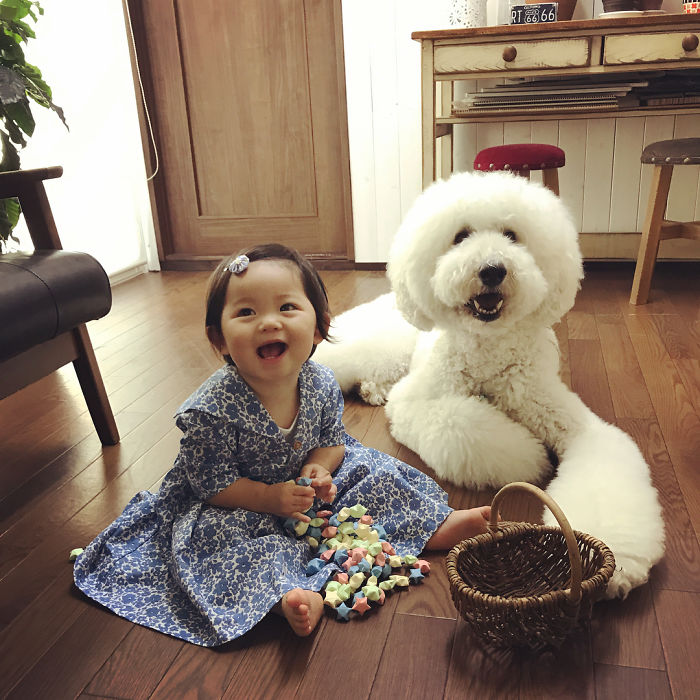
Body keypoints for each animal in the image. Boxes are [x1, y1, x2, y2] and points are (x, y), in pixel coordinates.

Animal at [314, 172, 664, 600]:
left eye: (512, 235)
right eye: (460, 236)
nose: (493, 270)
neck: (489, 351)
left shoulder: (569, 417)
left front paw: (612, 558)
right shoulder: (417, 401)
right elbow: (466, 428)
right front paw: (530, 457)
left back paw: (370, 390)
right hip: (377, 347)